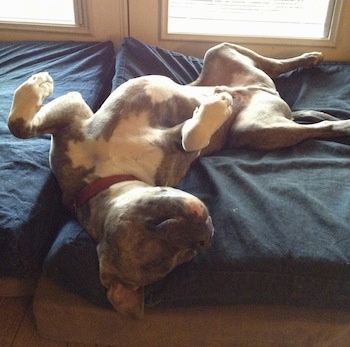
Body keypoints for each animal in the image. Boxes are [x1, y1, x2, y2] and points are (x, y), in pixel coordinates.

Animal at [8, 42, 350, 318]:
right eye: (188, 254)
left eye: (156, 222)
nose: (205, 231)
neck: (107, 178)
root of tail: (272, 98)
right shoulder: (179, 151)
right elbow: (190, 136)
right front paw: (215, 110)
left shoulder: (74, 117)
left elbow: (20, 126)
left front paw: (35, 86)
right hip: (257, 129)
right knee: (312, 125)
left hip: (221, 53)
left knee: (276, 68)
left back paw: (307, 61)